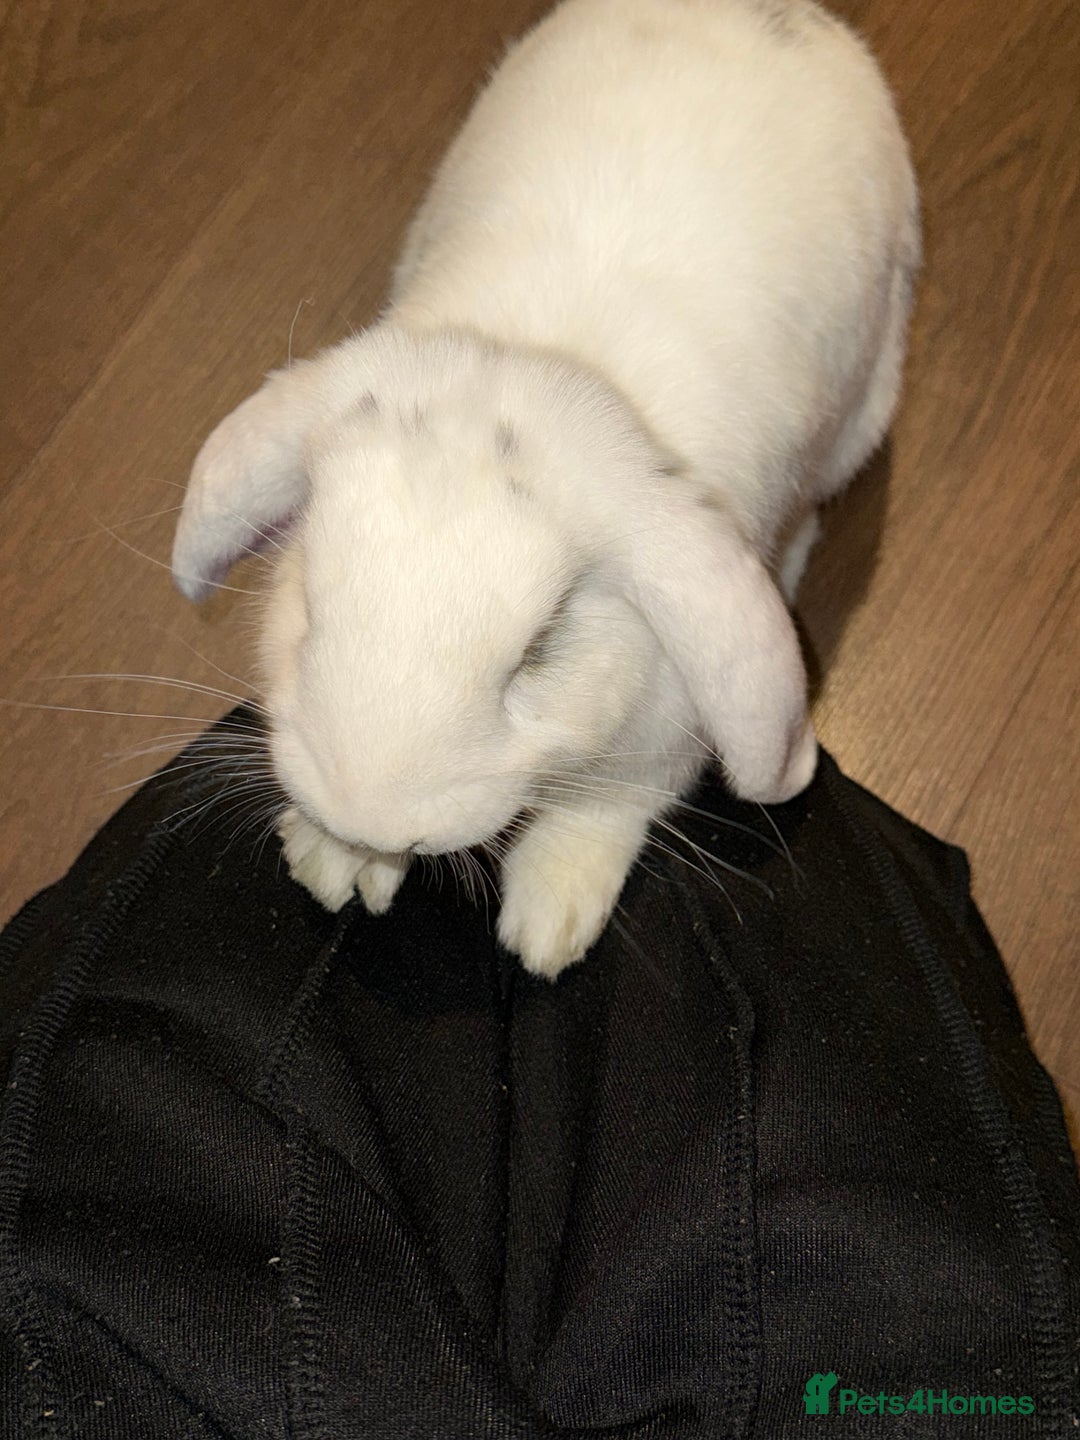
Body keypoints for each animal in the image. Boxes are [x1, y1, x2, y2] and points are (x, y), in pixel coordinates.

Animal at [172, 0, 920, 978]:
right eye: (310, 604)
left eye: (540, 647)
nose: (372, 816)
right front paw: (332, 859)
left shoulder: (665, 728)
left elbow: (605, 807)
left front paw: (547, 922)